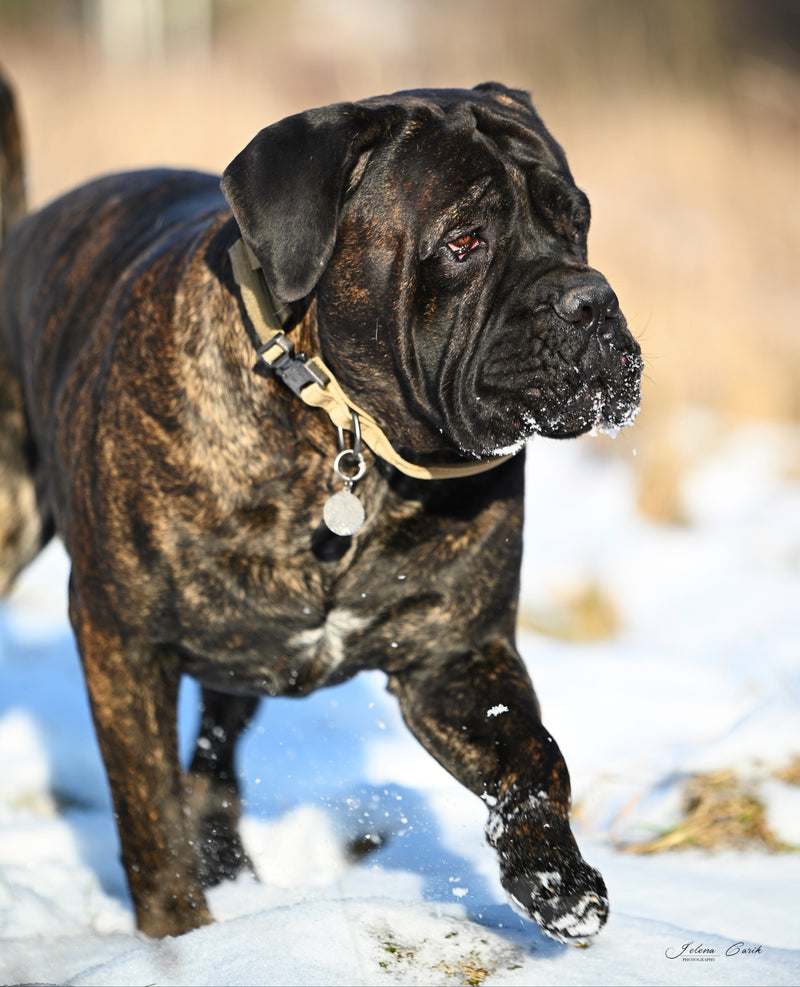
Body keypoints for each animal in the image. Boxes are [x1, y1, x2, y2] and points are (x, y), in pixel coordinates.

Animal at [0, 77, 640, 940]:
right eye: (463, 241)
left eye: (575, 219)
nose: (591, 300)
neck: (347, 437)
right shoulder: (122, 639)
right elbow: (148, 808)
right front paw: (179, 934)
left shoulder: (455, 654)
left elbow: (533, 749)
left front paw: (555, 876)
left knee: (215, 753)